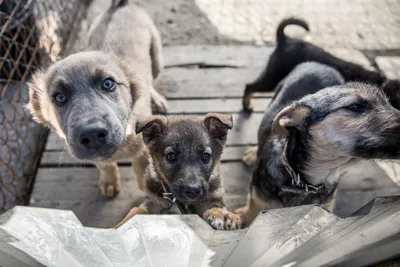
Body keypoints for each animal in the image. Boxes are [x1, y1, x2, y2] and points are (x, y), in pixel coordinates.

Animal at [27, 0, 167, 197]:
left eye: (108, 84)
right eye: (60, 97)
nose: (92, 135)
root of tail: (119, 6)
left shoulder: (144, 150)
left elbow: (142, 168)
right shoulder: (95, 156)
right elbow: (105, 165)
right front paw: (109, 182)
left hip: (156, 58)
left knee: (150, 80)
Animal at [114, 114, 242, 231]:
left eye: (205, 157)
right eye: (171, 156)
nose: (192, 191)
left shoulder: (210, 199)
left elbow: (216, 207)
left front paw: (221, 214)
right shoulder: (154, 201)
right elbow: (137, 210)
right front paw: (119, 227)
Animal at [238, 62, 400, 228]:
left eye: (389, 104)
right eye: (355, 106)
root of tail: (318, 63)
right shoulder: (257, 194)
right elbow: (252, 211)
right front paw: (242, 220)